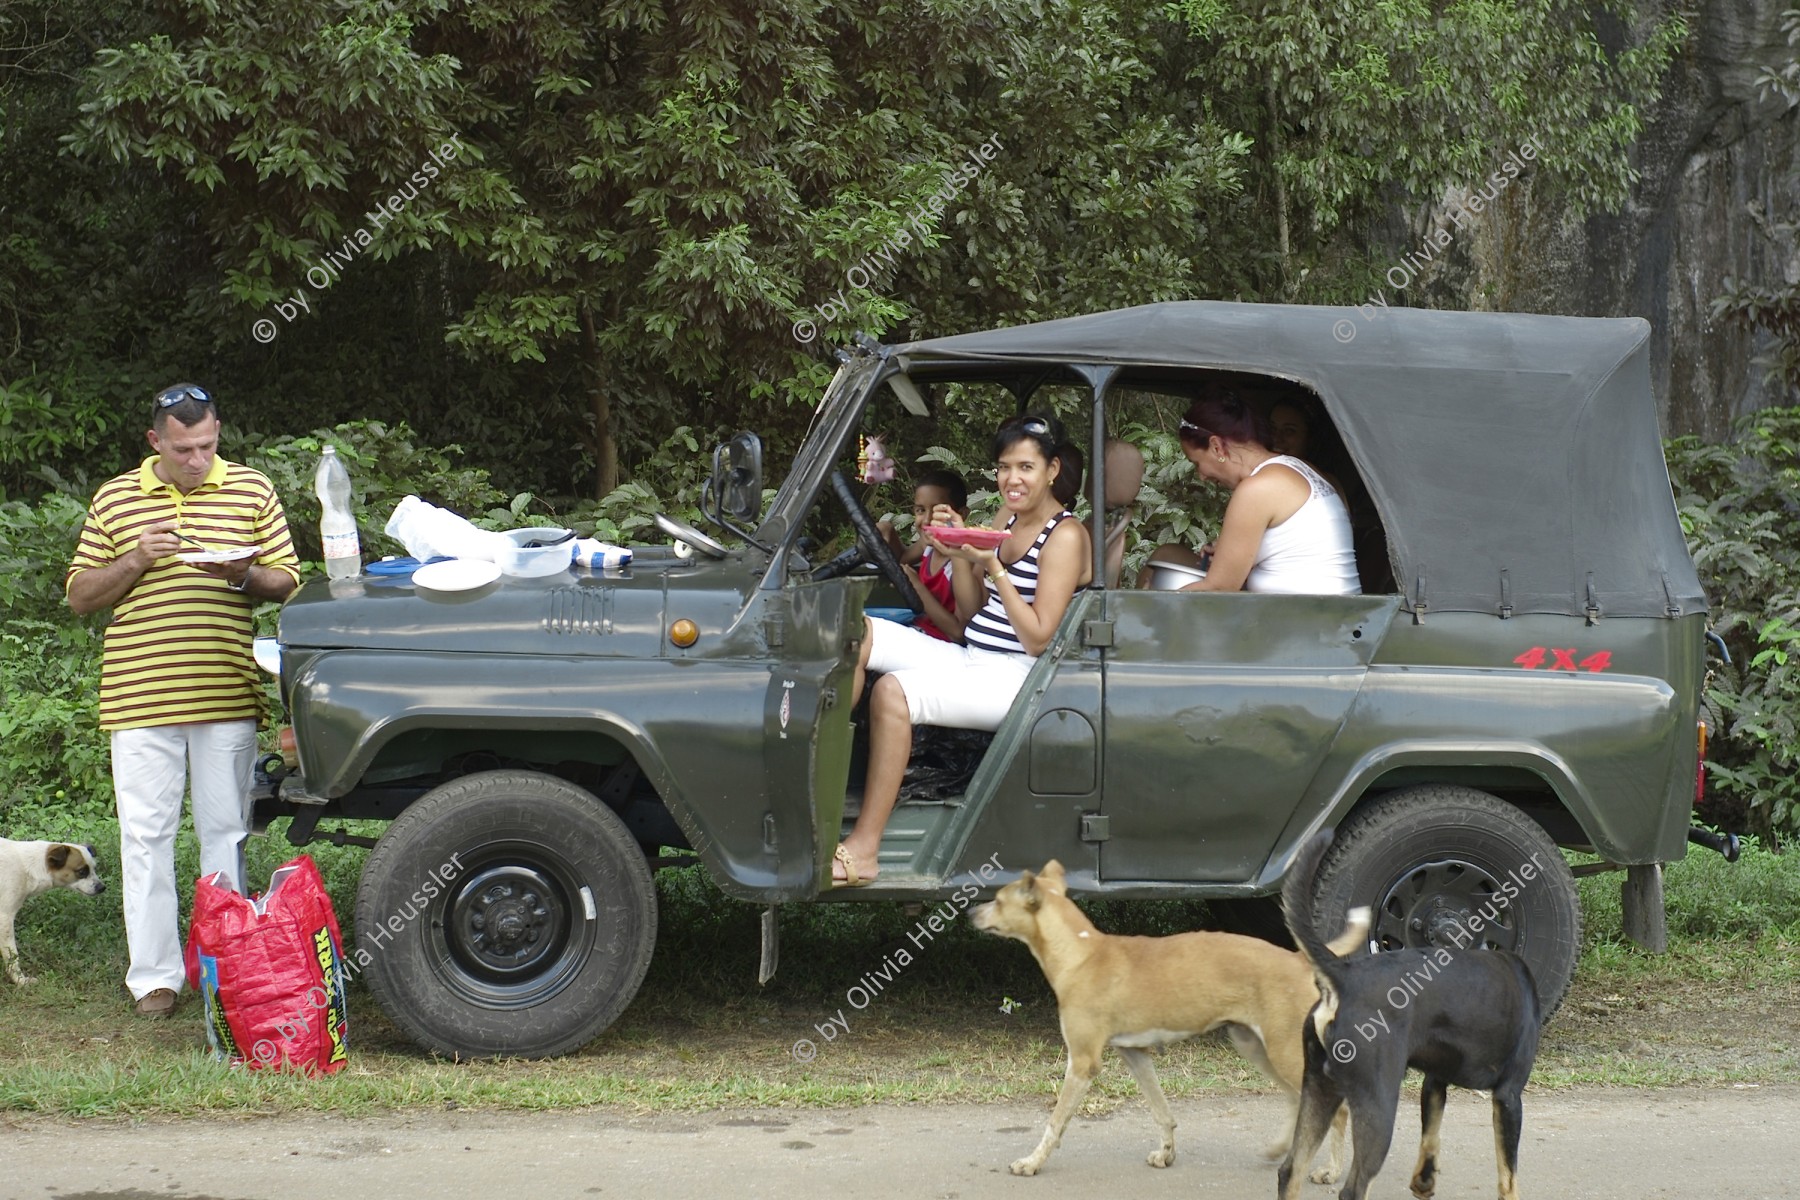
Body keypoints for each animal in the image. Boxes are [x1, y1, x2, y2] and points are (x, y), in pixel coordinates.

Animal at [979, 863, 1353, 1180]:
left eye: (998, 900)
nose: (971, 912)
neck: (1080, 953)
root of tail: (1297, 958)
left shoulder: (1083, 1062)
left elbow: (1055, 1122)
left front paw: (1032, 1162)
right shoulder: (1135, 1054)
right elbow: (1162, 1112)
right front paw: (1167, 1153)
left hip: (1285, 1051)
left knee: (1337, 1110)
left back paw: (1332, 1171)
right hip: (1257, 1047)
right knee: (1295, 1101)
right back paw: (1281, 1150)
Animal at [1274, 831, 1540, 1200]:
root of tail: (1344, 976)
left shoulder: (1435, 1081)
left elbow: (1431, 1136)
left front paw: (1423, 1182)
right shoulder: (1509, 1096)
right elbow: (1508, 1174)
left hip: (1320, 1089)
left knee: (1290, 1172)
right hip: (1379, 1104)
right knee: (1353, 1189)